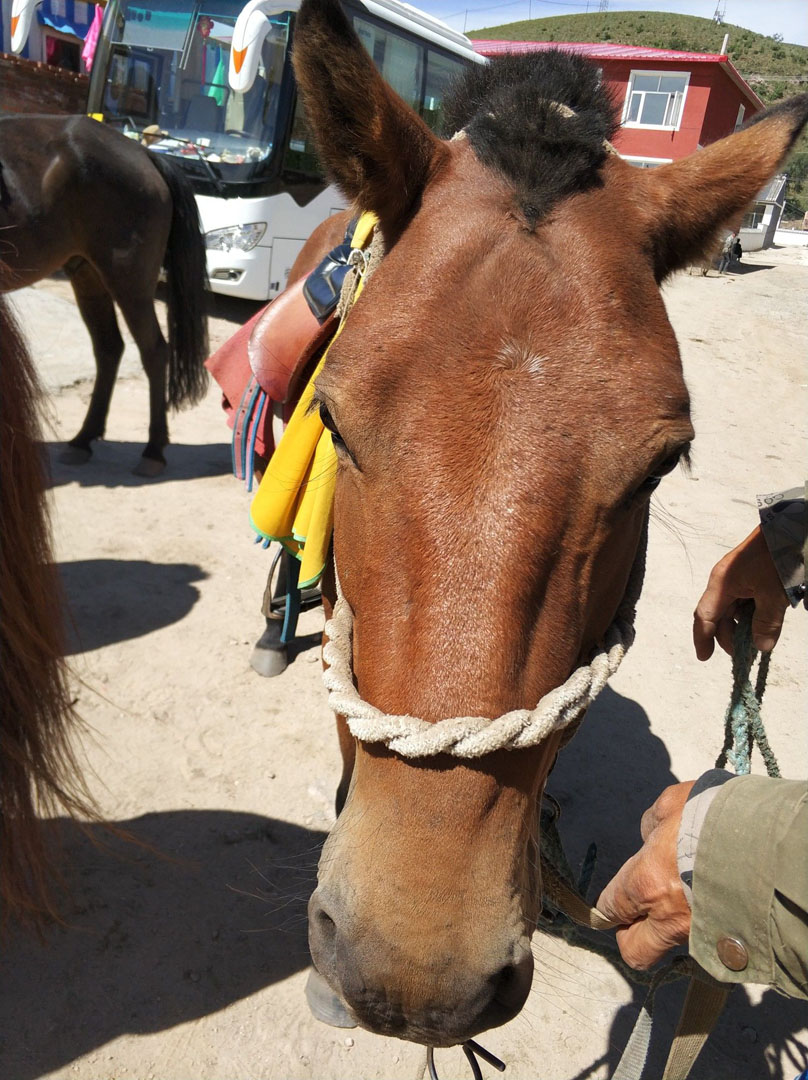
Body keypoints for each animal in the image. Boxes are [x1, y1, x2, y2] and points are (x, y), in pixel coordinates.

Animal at [0, 116, 208, 475]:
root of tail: (143, 154)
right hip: (88, 275)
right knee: (109, 347)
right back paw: (83, 439)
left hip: (129, 282)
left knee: (154, 351)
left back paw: (153, 450)